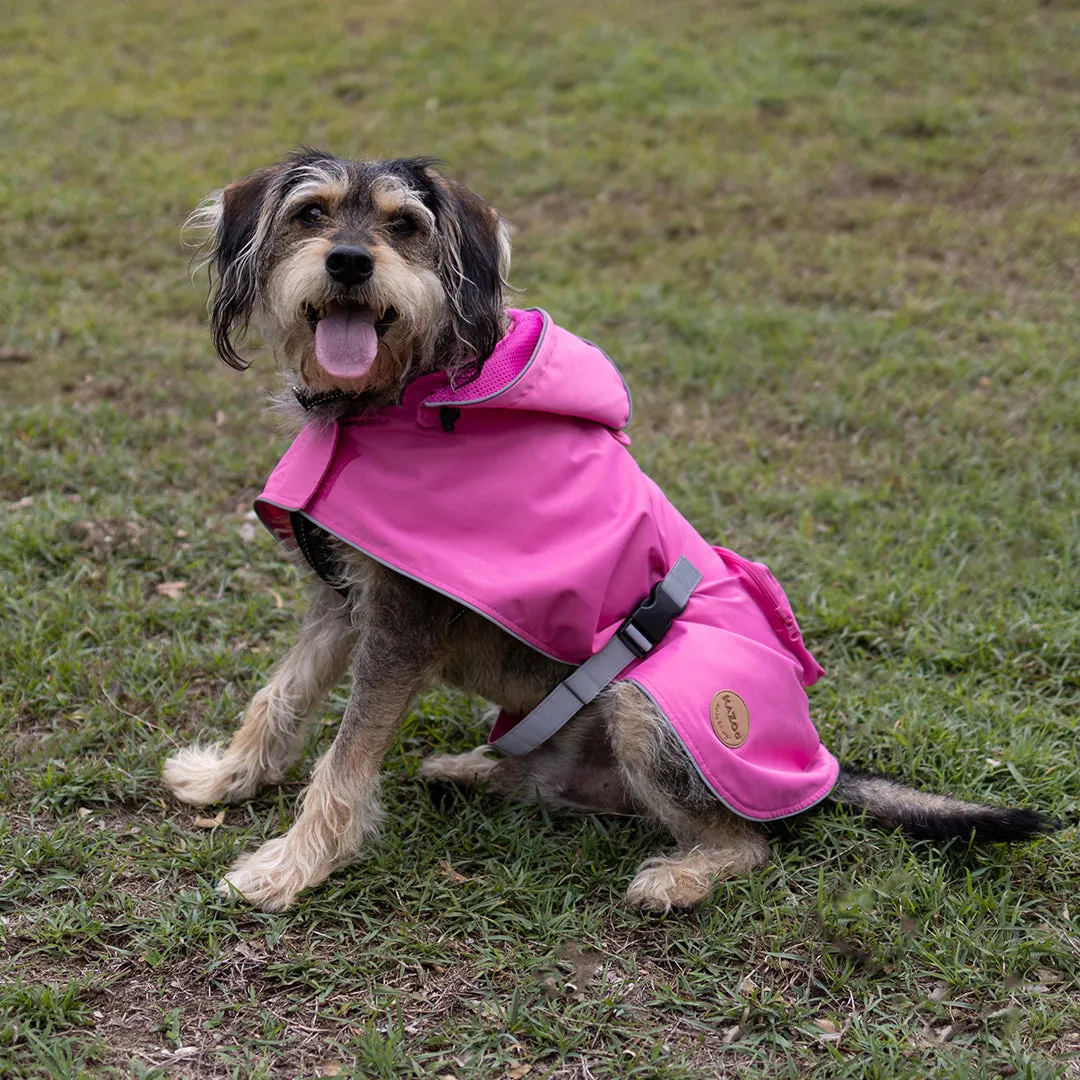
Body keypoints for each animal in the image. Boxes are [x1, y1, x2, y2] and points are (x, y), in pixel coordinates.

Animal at [164, 150, 1058, 911]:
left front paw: (290, 867)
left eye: (405, 225)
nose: (349, 262)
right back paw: (472, 768)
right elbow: (279, 695)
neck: (399, 399)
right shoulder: (346, 598)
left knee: (751, 841)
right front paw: (226, 778)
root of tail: (826, 772)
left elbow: (346, 759)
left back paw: (679, 877)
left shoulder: (400, 623)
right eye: (310, 214)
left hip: (644, 702)